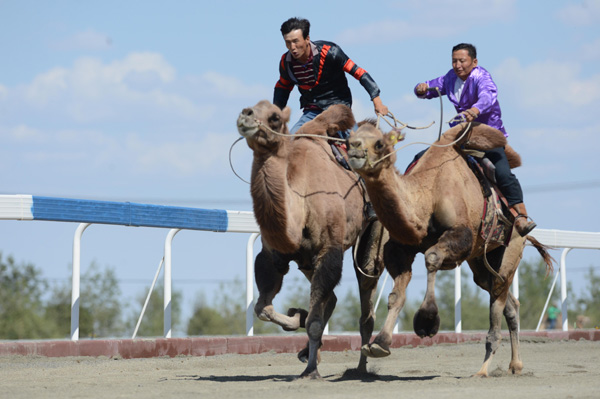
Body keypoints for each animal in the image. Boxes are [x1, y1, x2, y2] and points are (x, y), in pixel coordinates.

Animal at [234, 101, 390, 380]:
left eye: (275, 118)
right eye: (251, 107)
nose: (246, 116)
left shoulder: (329, 250)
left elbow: (315, 322)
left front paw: (310, 371)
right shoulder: (273, 256)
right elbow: (263, 309)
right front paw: (297, 317)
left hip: (372, 238)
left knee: (366, 306)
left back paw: (360, 368)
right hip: (307, 262)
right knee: (333, 298)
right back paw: (309, 351)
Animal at [344, 122, 556, 378]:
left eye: (379, 143)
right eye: (351, 138)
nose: (354, 150)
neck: (427, 195)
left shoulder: (461, 236)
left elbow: (431, 258)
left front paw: (427, 321)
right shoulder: (400, 249)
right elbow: (396, 295)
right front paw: (379, 344)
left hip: (512, 248)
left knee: (497, 299)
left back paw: (483, 369)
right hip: (481, 262)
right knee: (507, 301)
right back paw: (515, 365)